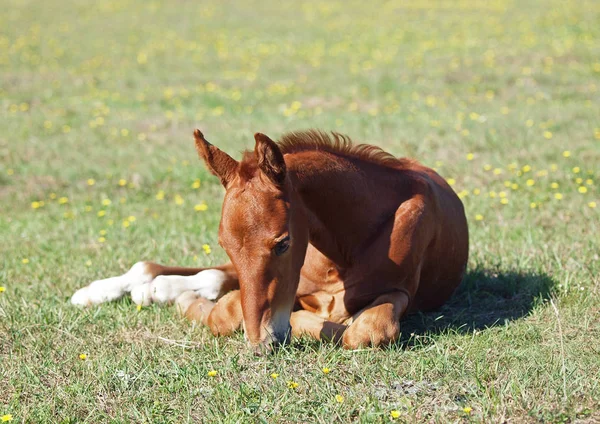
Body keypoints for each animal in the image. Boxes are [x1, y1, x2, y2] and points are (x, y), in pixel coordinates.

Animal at [72, 129, 468, 352]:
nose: (261, 343)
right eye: (224, 242)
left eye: (283, 243)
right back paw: (99, 292)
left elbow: (364, 332)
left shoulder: (396, 293)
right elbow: (226, 311)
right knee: (178, 270)